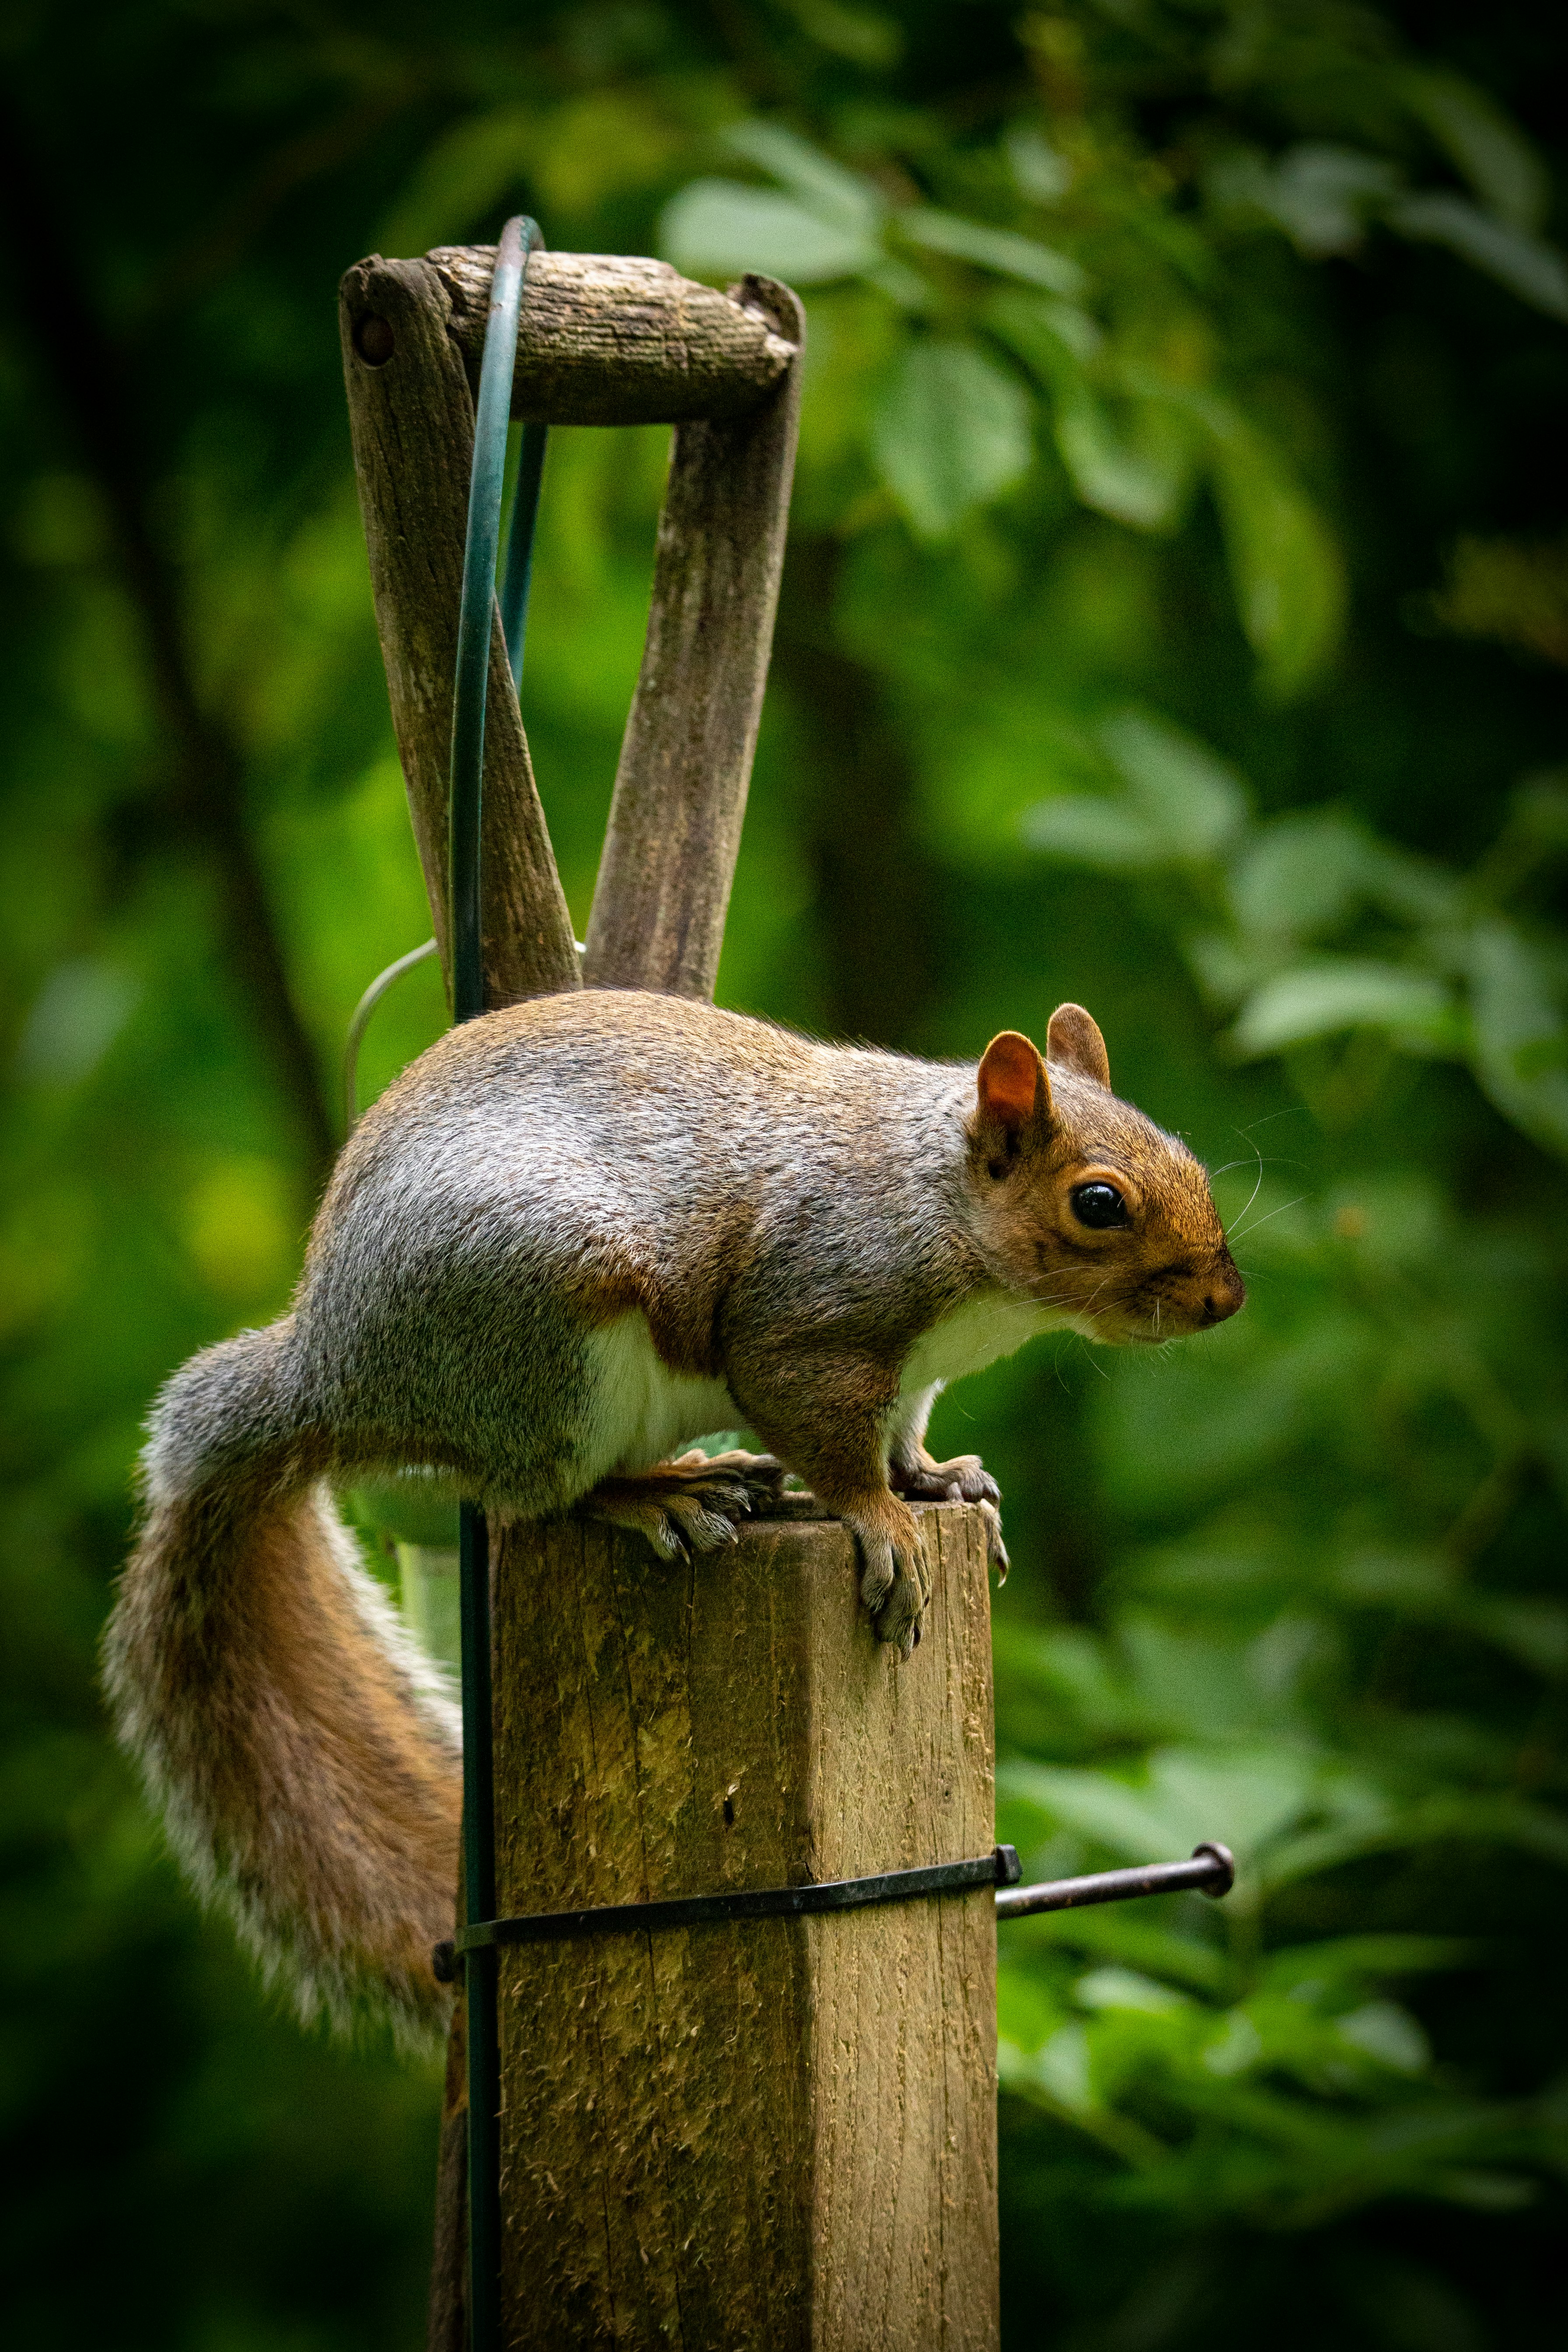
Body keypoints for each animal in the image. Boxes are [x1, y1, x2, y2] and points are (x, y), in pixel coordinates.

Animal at [104, 983, 1241, 2032]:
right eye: (1099, 1203)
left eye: (1187, 1157)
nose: (1222, 1301)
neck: (943, 1202)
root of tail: (331, 1374)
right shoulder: (808, 1322)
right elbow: (829, 1443)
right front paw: (882, 1526)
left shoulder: (912, 1378)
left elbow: (904, 1437)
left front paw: (942, 1481)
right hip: (547, 1328)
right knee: (535, 1497)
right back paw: (660, 1492)